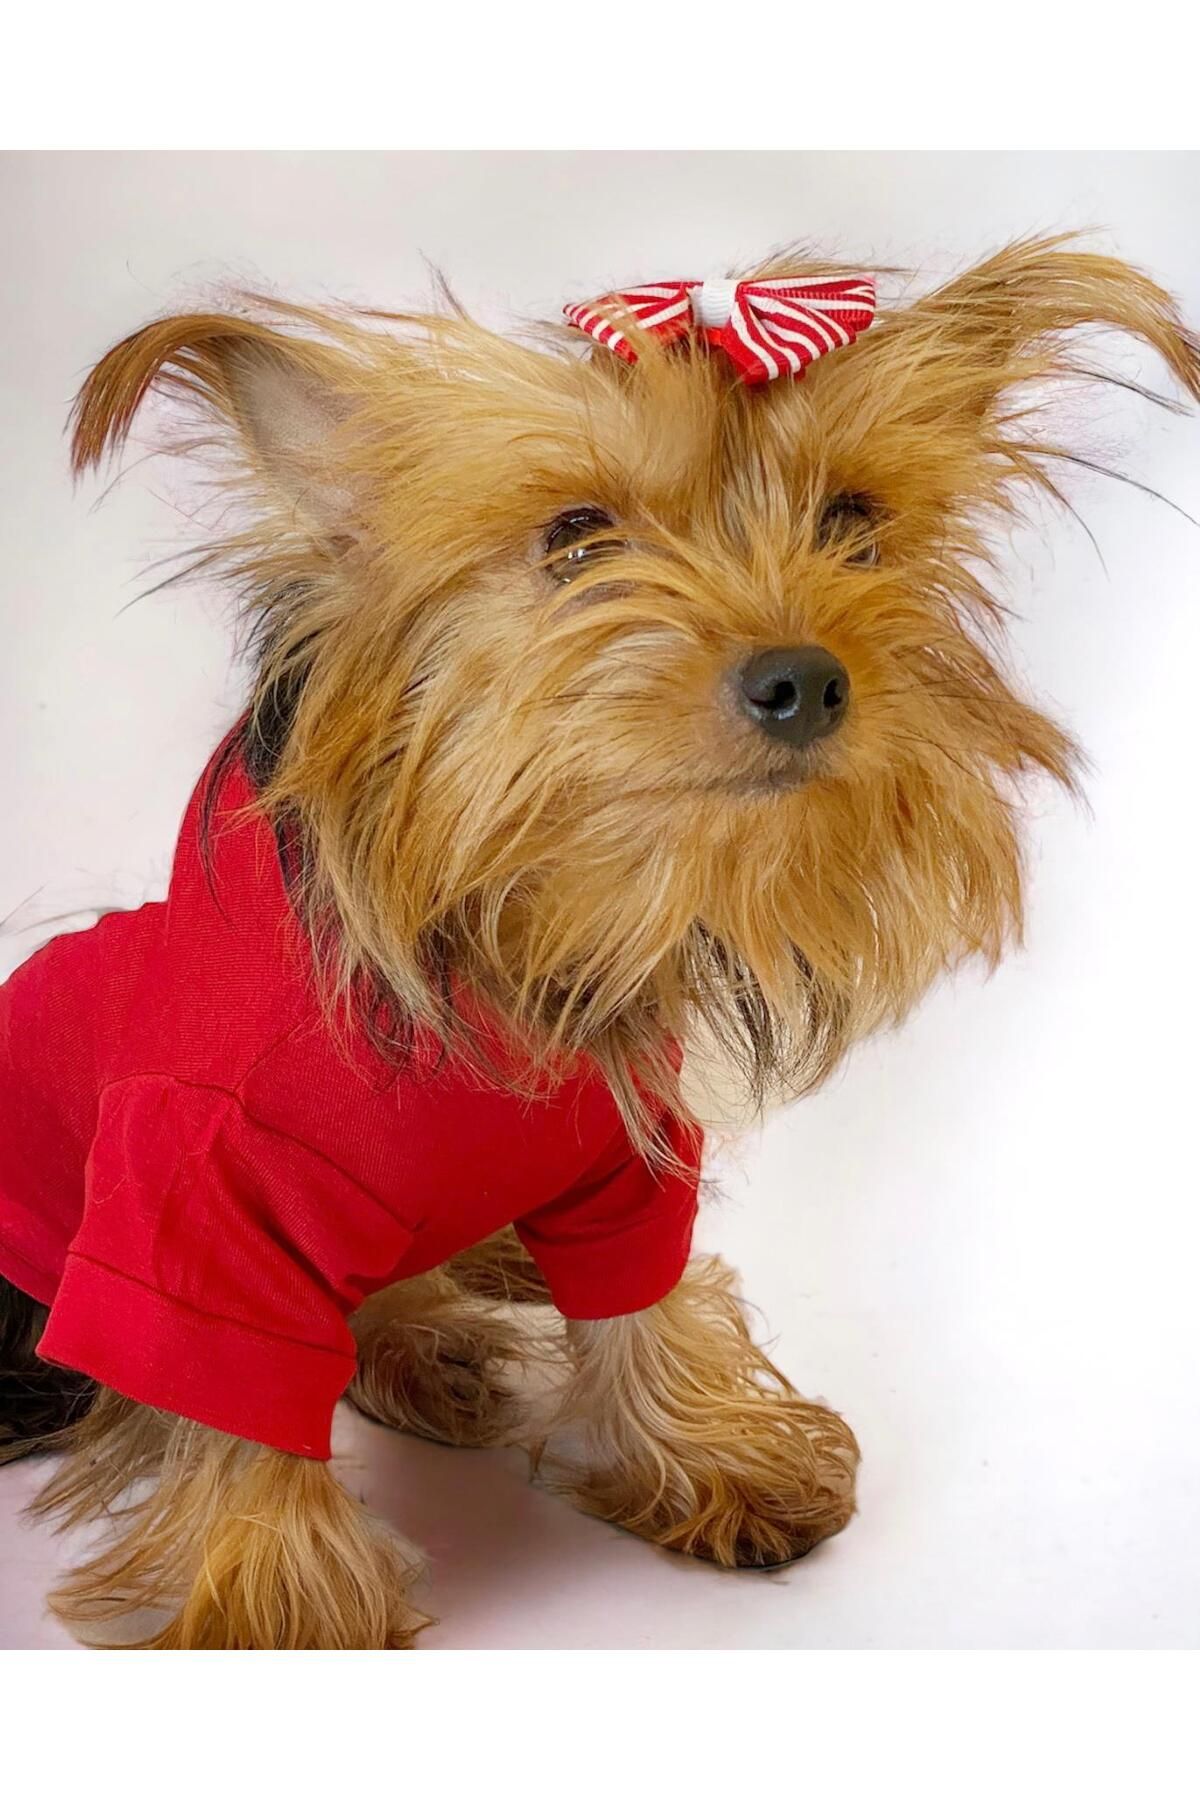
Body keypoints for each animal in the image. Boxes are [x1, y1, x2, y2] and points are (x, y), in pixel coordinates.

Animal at [4, 235, 1194, 1648]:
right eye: (578, 537)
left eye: (852, 522)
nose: (805, 677)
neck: (517, 942)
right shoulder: (194, 1205)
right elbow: (227, 1410)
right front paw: (282, 1604)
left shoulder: (624, 1166)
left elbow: (643, 1302)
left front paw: (707, 1454)